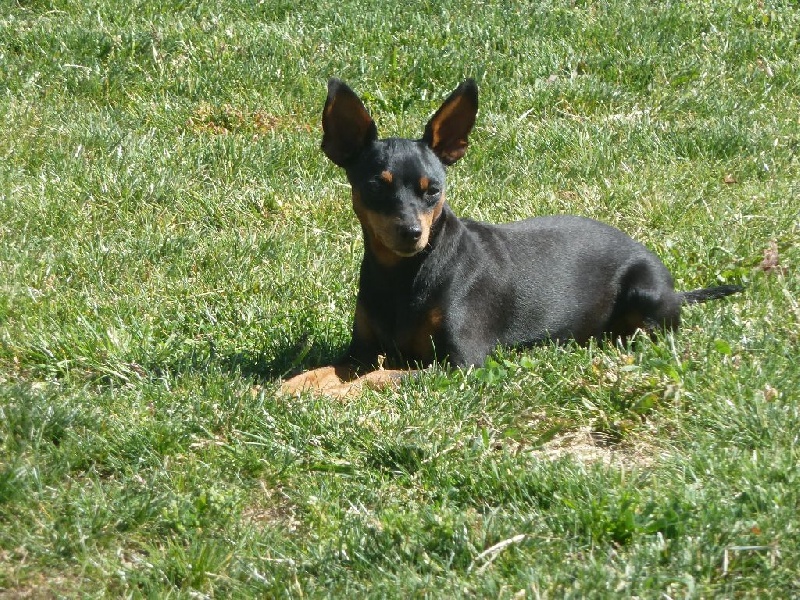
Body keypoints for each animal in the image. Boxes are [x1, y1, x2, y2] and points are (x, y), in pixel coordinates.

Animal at [282, 79, 744, 398]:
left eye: (434, 190)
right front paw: (293, 385)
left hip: (645, 297)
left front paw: (339, 394)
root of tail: (674, 288)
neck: (405, 275)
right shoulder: (359, 352)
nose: (412, 233)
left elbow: (379, 377)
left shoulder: (462, 363)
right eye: (376, 187)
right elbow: (325, 370)